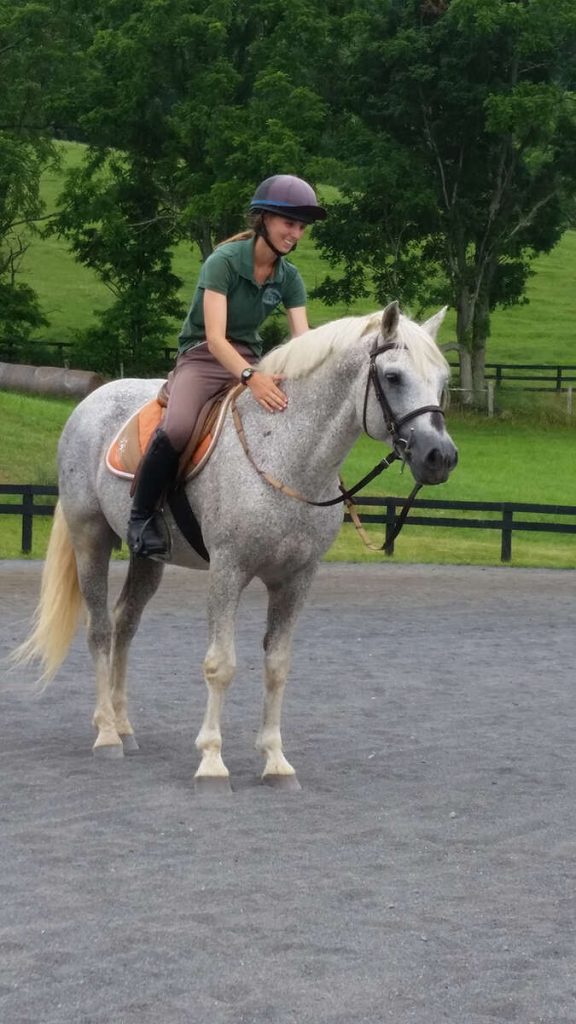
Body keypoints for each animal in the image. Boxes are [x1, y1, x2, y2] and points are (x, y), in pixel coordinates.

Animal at [14, 301, 457, 790]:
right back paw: (107, 734)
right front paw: (211, 761)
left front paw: (276, 761)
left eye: (443, 379)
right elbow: (220, 665)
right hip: (90, 538)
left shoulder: (296, 579)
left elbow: (278, 665)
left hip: (146, 557)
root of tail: (91, 401)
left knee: (125, 624)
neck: (286, 453)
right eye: (393, 376)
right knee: (100, 631)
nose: (440, 457)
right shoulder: (228, 570)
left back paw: (124, 726)